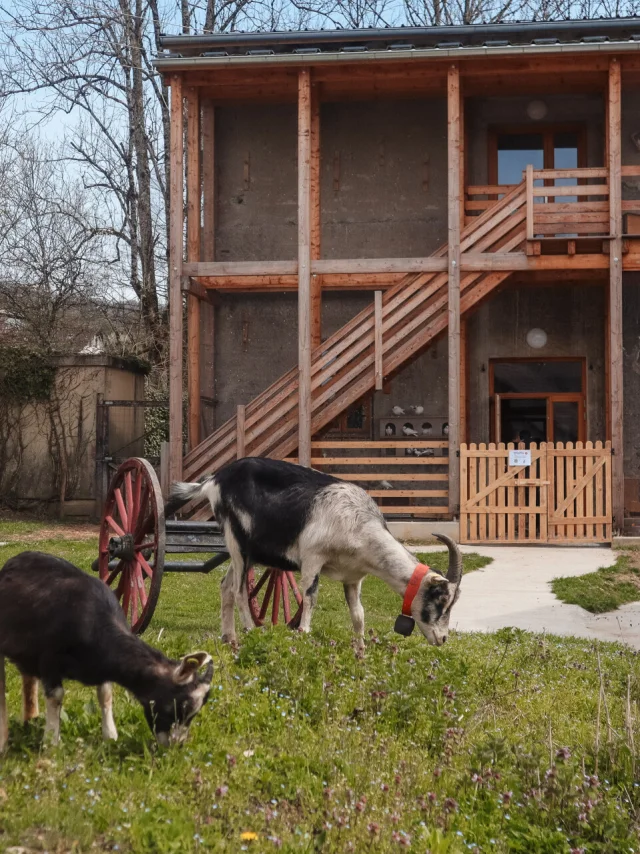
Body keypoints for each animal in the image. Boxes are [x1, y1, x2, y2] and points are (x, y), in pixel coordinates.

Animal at [0, 551, 213, 751]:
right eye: (177, 706)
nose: (176, 744)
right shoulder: (49, 660)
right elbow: (56, 696)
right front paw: (51, 741)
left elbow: (105, 694)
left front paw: (110, 735)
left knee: (28, 677)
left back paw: (31, 718)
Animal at [166, 457, 462, 652]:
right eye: (440, 599)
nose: (443, 639)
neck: (357, 524)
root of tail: (213, 480)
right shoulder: (312, 558)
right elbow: (309, 598)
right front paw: (304, 635)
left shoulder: (354, 577)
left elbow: (358, 614)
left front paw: (360, 651)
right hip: (237, 540)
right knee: (239, 591)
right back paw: (249, 632)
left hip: (244, 552)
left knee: (225, 585)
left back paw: (229, 638)